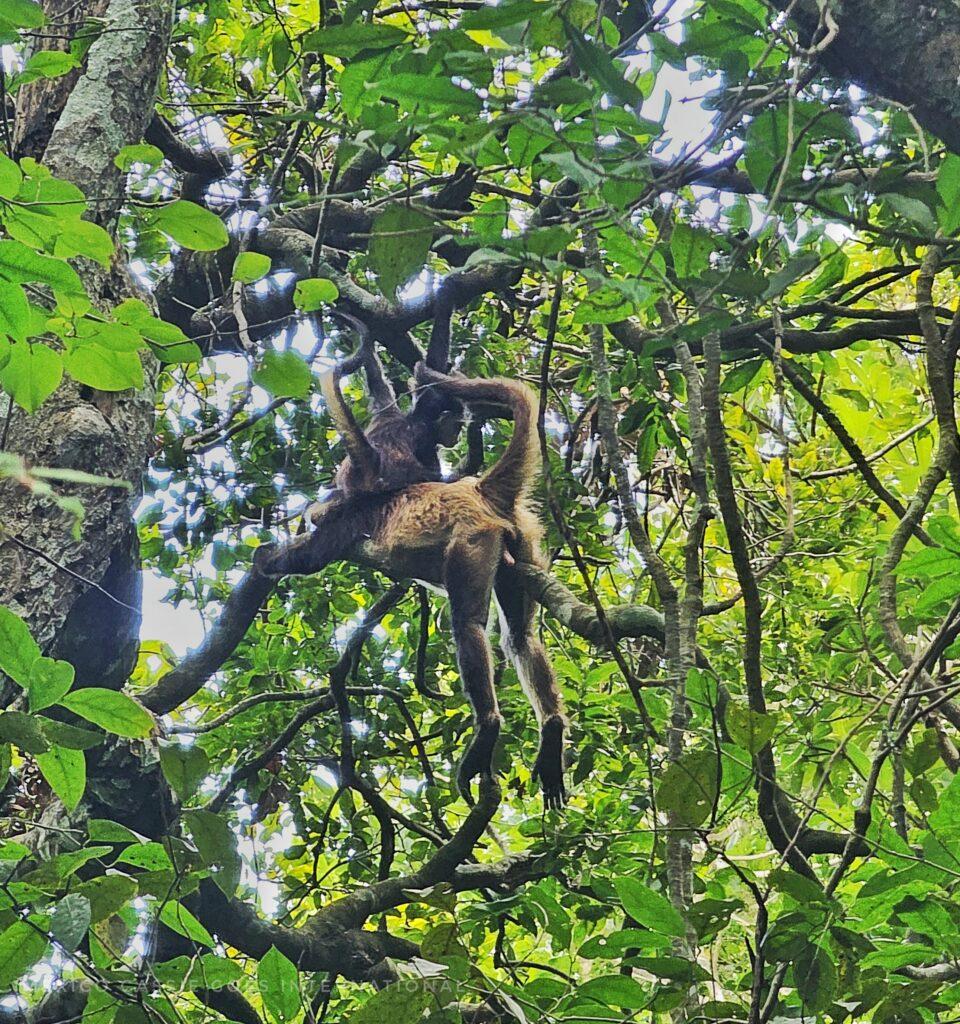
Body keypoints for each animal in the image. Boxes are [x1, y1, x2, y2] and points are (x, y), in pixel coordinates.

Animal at [255, 363, 568, 809]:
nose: (312, 514)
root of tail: (480, 489)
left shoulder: (347, 522)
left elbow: (307, 559)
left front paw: (263, 558)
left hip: (474, 537)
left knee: (466, 624)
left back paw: (488, 725)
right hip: (519, 542)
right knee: (521, 637)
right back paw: (553, 728)